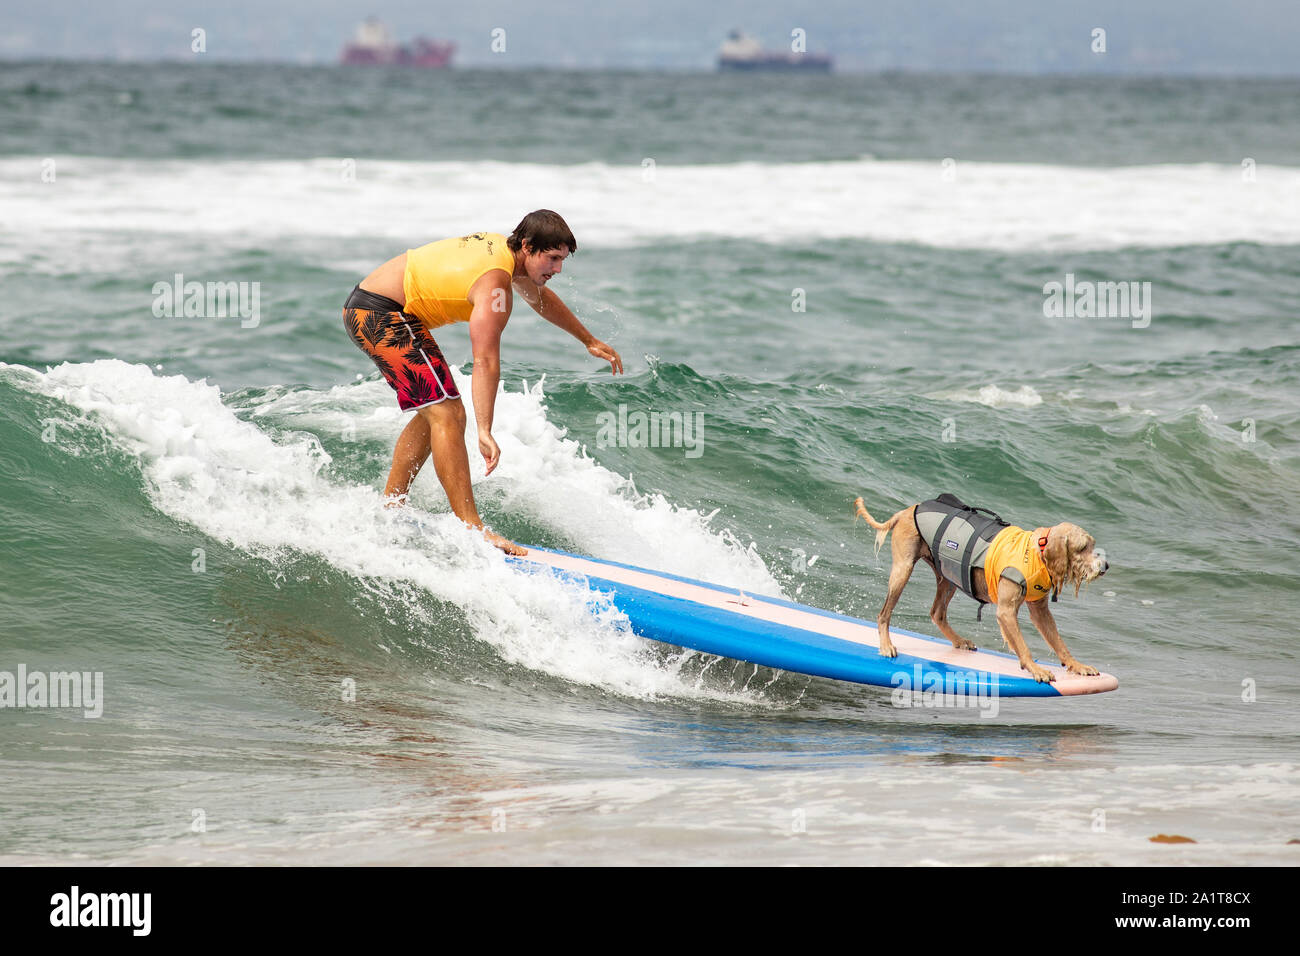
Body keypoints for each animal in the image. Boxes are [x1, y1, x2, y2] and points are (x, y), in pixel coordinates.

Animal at [852, 496, 1107, 686]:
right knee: (884, 614)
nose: (1105, 566)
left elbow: (1059, 643)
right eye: (1082, 547)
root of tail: (909, 510)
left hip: (948, 575)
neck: (1038, 553)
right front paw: (1036, 669)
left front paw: (1076, 665)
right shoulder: (1006, 611)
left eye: (1093, 545)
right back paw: (886, 645)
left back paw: (958, 640)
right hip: (903, 570)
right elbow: (1023, 646)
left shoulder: (1040, 611)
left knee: (937, 613)